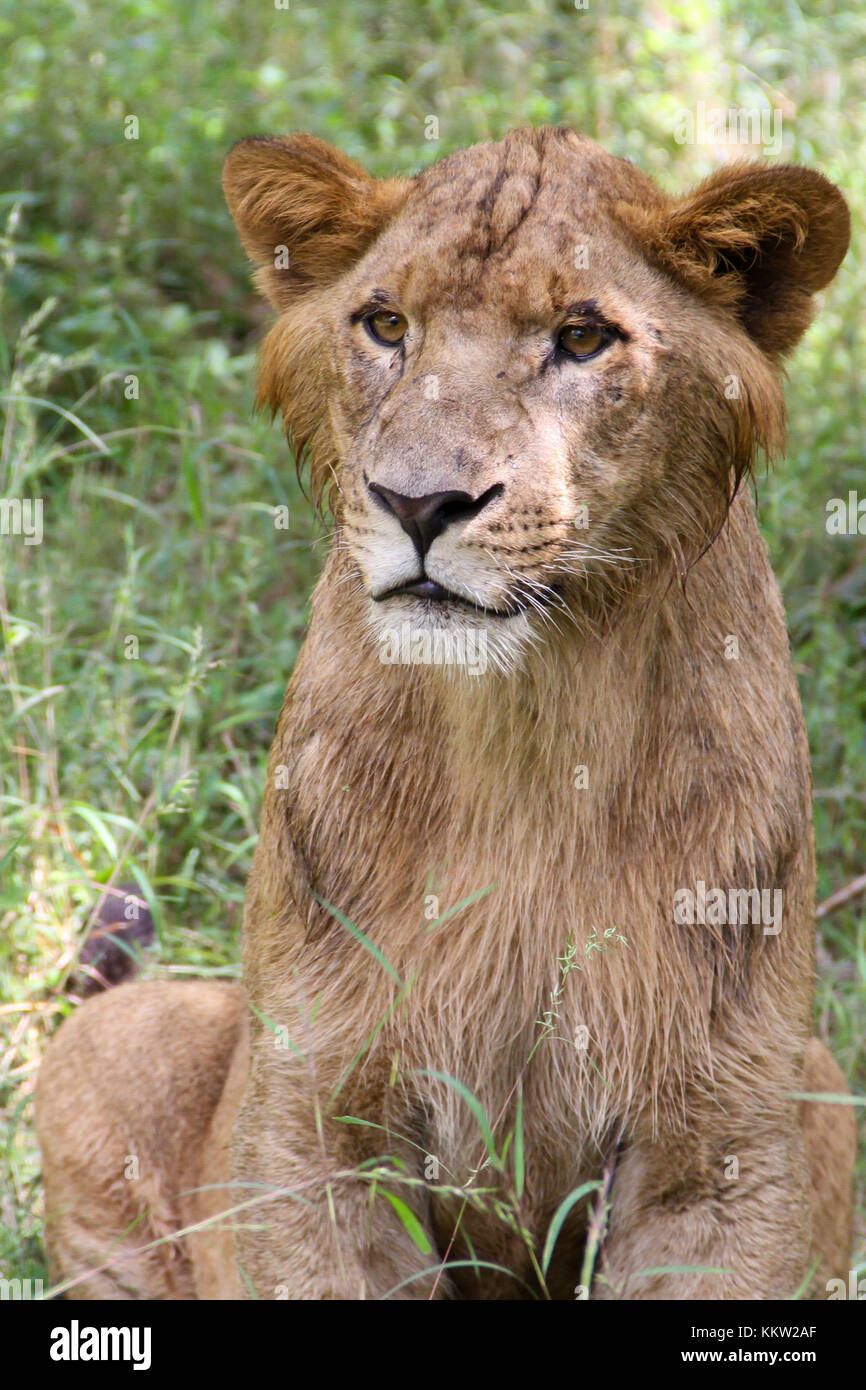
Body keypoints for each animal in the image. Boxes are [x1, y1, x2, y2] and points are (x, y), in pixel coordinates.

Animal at [35, 125, 856, 1295]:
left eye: (581, 337)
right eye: (386, 324)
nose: (419, 504)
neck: (526, 723)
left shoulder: (723, 1145)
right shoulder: (313, 1118)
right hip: (123, 1045)